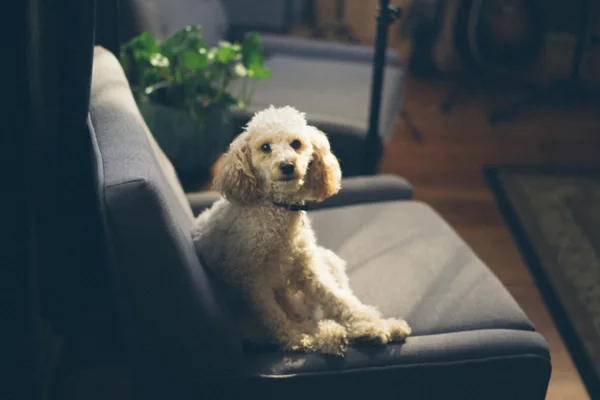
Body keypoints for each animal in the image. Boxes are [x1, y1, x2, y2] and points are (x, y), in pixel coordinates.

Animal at [195, 104, 410, 354]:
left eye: (296, 143)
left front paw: (368, 325)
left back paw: (386, 326)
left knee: (340, 300)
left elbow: (338, 299)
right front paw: (294, 339)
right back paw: (329, 335)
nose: (288, 165)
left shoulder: (309, 268)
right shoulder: (250, 279)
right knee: (314, 327)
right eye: (265, 147)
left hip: (328, 260)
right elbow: (273, 316)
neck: (278, 210)